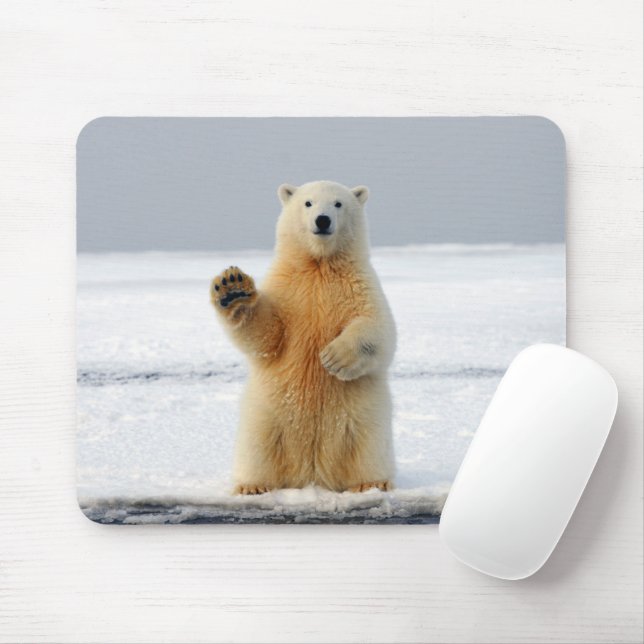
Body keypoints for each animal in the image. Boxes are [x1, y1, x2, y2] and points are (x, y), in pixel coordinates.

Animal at [210, 180, 396, 495]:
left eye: (338, 203)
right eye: (308, 203)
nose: (322, 220)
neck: (319, 265)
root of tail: (312, 475)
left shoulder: (360, 286)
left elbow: (378, 328)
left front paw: (334, 358)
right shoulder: (288, 290)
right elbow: (267, 335)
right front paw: (233, 289)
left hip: (365, 417)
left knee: (368, 447)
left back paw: (372, 483)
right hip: (266, 415)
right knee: (257, 447)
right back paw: (252, 486)